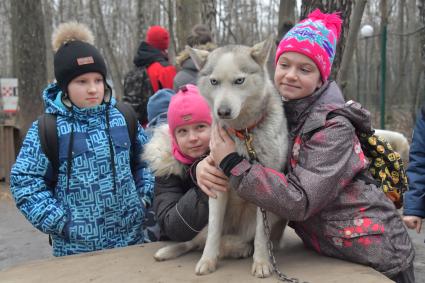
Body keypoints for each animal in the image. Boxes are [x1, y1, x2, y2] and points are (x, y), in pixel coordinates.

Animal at [152, 38, 288, 280]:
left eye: (239, 81)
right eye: (214, 81)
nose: (223, 111)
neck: (243, 133)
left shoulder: (264, 191)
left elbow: (261, 237)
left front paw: (262, 262)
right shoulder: (215, 186)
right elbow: (213, 232)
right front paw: (207, 261)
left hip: (274, 215)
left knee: (246, 239)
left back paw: (242, 248)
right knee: (196, 242)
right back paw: (171, 250)